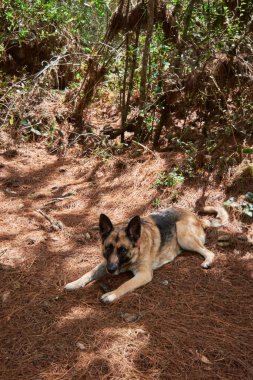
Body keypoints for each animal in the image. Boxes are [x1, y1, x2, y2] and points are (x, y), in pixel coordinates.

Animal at [64, 206, 227, 304]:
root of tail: (197, 218)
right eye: (108, 248)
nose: (110, 270)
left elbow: (126, 284)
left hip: (183, 234)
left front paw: (112, 294)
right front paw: (75, 283)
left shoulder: (143, 274)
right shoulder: (105, 263)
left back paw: (207, 261)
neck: (135, 252)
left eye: (122, 249)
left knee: (209, 251)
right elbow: (88, 273)